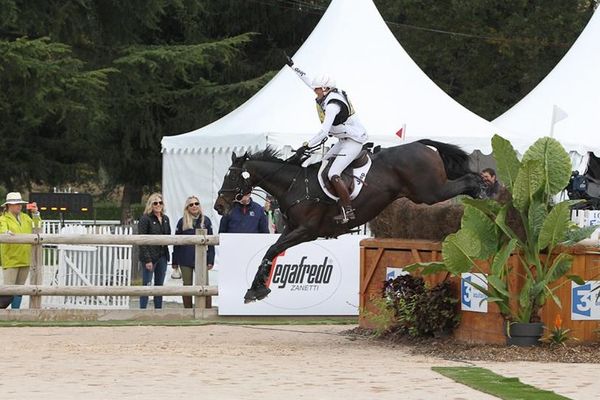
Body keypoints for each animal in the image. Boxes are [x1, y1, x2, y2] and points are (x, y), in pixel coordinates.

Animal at [213, 139, 480, 302]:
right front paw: (256, 288)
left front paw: (257, 289)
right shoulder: (290, 229)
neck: (294, 185)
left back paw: (484, 196)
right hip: (426, 192)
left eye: (232, 178)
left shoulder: (306, 231)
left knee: (470, 180)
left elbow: (272, 249)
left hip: (429, 192)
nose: (218, 206)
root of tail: (420, 144)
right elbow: (271, 250)